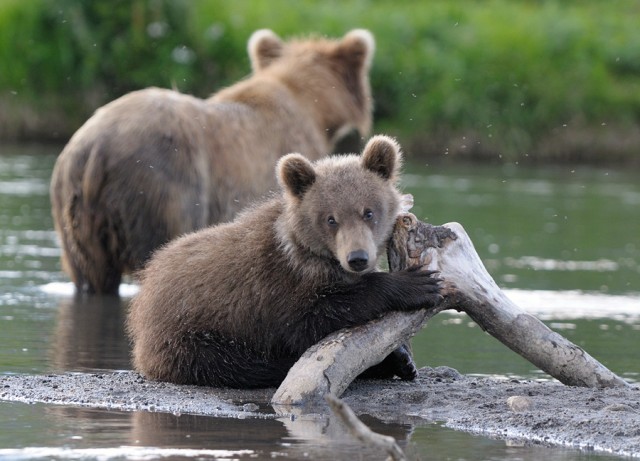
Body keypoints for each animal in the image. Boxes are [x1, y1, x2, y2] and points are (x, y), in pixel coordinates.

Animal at [127, 135, 442, 386]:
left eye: (368, 212)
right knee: (242, 365)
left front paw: (403, 357)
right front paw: (418, 284)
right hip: (191, 337)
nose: (357, 258)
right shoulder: (277, 288)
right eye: (331, 219)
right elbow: (313, 318)